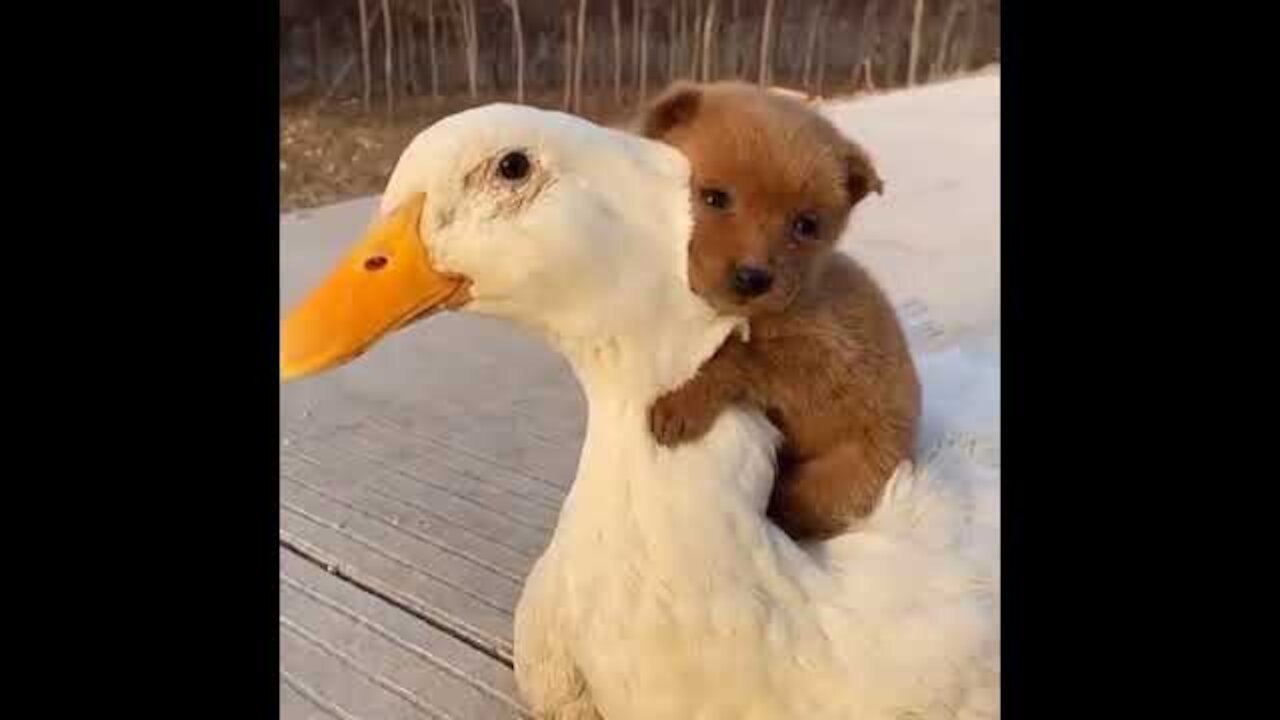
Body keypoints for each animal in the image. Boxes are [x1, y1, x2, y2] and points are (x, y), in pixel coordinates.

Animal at [632, 79, 921, 538]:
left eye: (806, 225)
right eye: (714, 197)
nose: (753, 278)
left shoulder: (825, 357)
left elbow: (741, 355)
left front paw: (682, 405)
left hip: (846, 475)